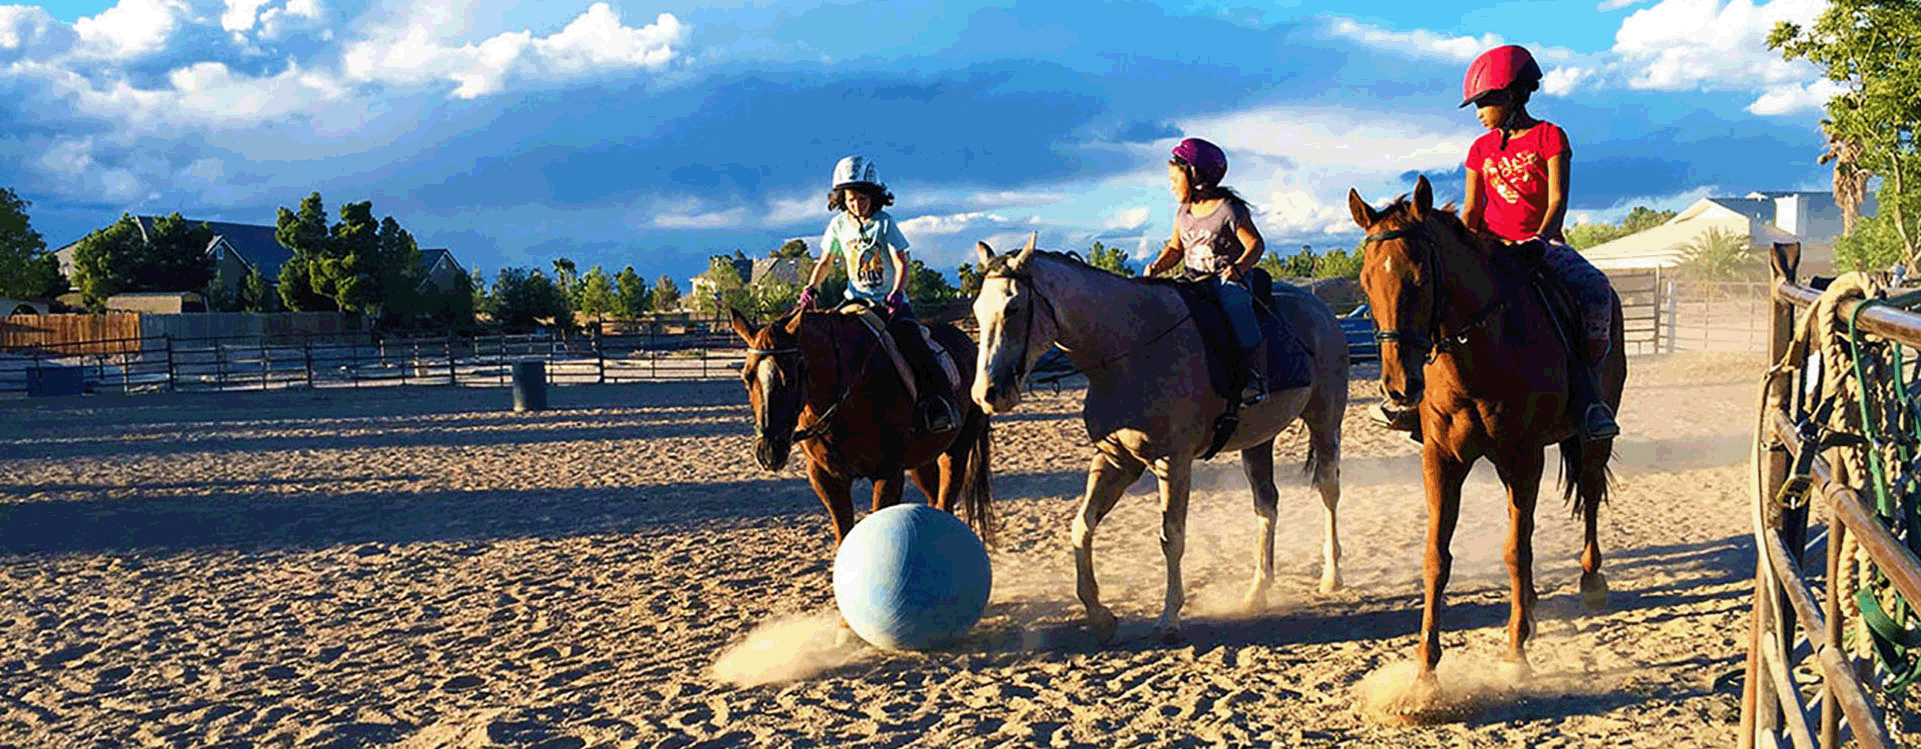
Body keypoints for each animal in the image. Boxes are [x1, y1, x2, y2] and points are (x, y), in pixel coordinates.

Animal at [726, 303, 998, 549]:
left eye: (790, 378)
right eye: (746, 378)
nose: (768, 452)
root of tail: (969, 344)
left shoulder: (888, 474)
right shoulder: (825, 477)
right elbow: (842, 537)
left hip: (957, 451)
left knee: (945, 501)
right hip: (922, 460)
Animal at [1344, 175, 1629, 718]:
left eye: (1419, 280)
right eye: (1367, 284)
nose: (1398, 388)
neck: (1480, 352)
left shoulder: (1524, 457)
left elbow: (1516, 549)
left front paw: (1515, 655)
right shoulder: (1441, 460)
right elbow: (1437, 556)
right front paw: (1425, 672)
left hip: (1588, 440)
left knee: (1588, 495)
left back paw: (1589, 580)